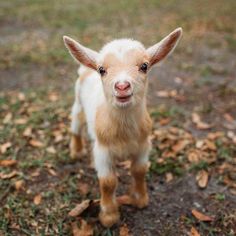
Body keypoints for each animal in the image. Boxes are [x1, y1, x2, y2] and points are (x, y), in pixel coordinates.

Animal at [62, 27, 183, 227]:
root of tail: (86, 68)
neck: (124, 131)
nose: (122, 86)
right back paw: (76, 151)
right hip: (78, 103)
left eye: (144, 66)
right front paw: (109, 216)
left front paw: (140, 200)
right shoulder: (103, 152)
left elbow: (139, 171)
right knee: (76, 125)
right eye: (102, 70)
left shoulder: (143, 146)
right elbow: (108, 182)